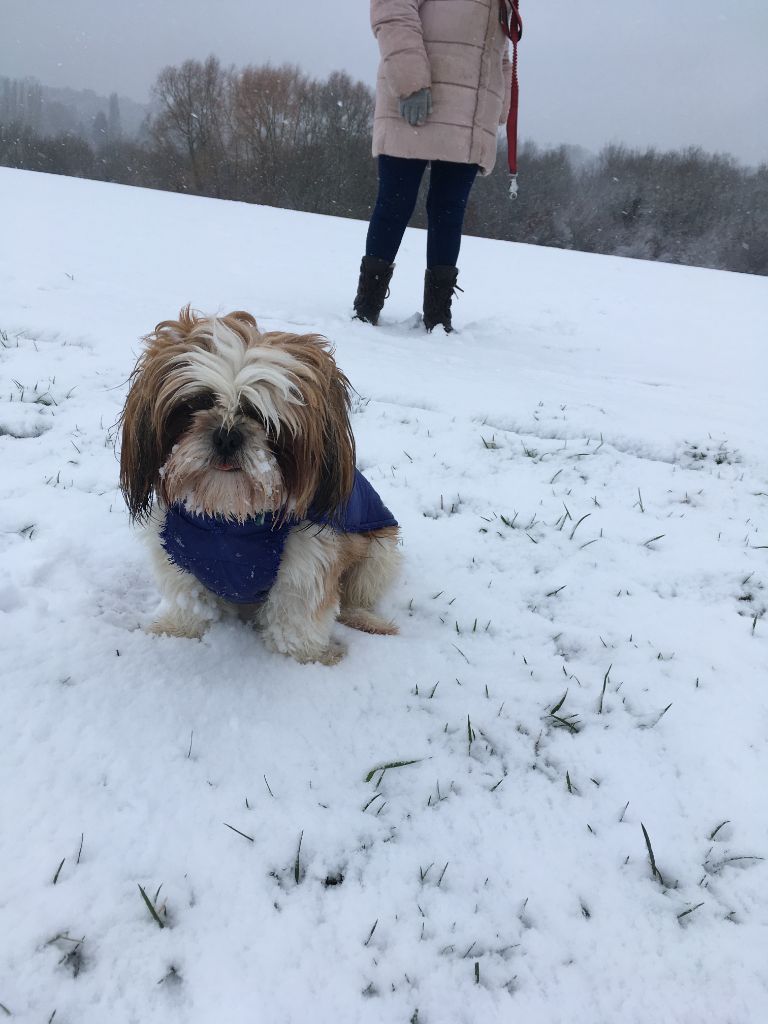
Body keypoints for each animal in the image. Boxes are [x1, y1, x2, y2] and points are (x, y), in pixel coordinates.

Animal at [120, 307, 403, 667]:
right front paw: (177, 632)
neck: (229, 523)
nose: (227, 436)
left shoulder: (306, 563)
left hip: (378, 555)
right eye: (195, 404)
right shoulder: (177, 550)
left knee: (357, 596)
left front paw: (307, 659)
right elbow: (189, 599)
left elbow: (295, 618)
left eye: (267, 421)